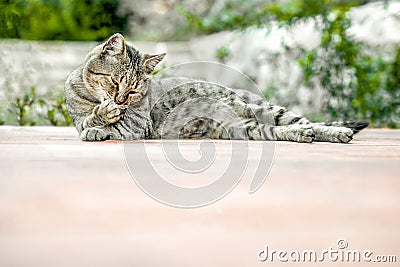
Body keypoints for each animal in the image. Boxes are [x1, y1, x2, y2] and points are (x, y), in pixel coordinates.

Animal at [64, 34, 368, 143]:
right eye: (115, 82)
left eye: (134, 91)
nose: (120, 100)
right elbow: (88, 120)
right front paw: (99, 119)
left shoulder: (138, 124)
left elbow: (111, 123)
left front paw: (102, 122)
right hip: (241, 127)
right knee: (280, 131)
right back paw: (306, 135)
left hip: (268, 110)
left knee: (308, 122)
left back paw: (335, 132)